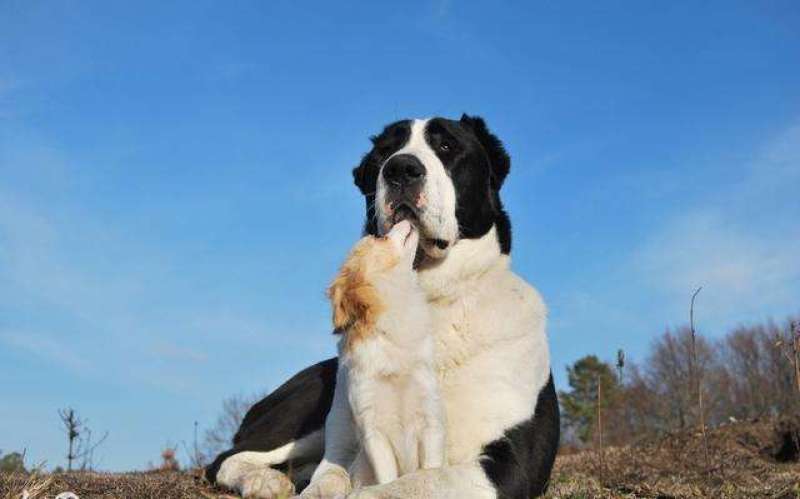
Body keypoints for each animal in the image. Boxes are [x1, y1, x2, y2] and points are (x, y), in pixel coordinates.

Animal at [326, 221, 446, 486]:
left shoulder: (429, 422)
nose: (405, 218)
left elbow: (431, 469)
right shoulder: (374, 432)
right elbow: (387, 480)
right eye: (379, 237)